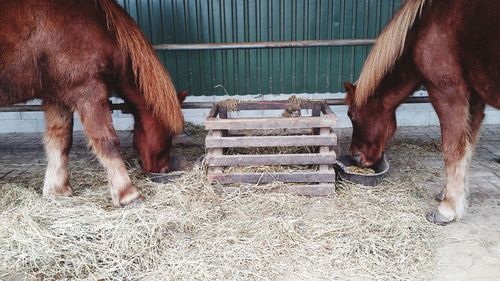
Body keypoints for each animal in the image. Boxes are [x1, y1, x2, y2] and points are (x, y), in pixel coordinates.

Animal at [0, 0, 184, 206]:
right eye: (170, 134)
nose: (164, 169)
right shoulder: (89, 92)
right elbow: (106, 141)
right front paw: (128, 193)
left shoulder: (56, 97)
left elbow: (60, 139)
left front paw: (58, 189)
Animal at [346, 0, 498, 223]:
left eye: (351, 115)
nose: (356, 158)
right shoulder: (475, 100)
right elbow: (467, 147)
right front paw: (451, 194)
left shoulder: (449, 95)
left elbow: (452, 149)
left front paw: (447, 208)